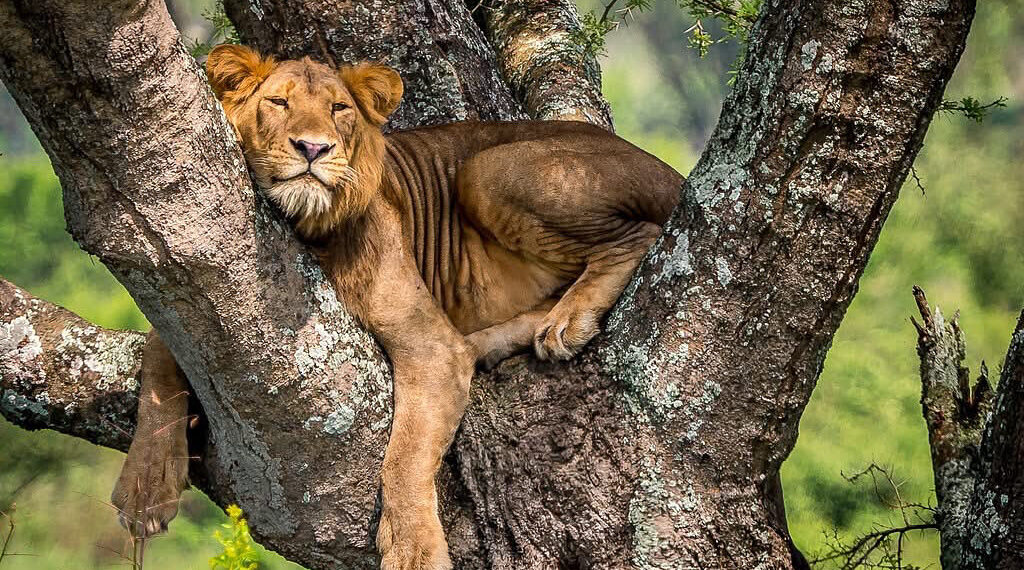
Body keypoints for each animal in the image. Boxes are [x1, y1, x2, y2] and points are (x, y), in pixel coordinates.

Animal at [111, 44, 683, 569]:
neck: (307, 231)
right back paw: (496, 341)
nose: (313, 148)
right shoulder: (186, 293)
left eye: (339, 108)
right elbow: (158, 362)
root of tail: (666, 168)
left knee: (638, 235)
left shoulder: (432, 348)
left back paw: (566, 320)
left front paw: (413, 550)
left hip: (486, 168)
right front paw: (145, 489)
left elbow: (404, 455)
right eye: (278, 102)